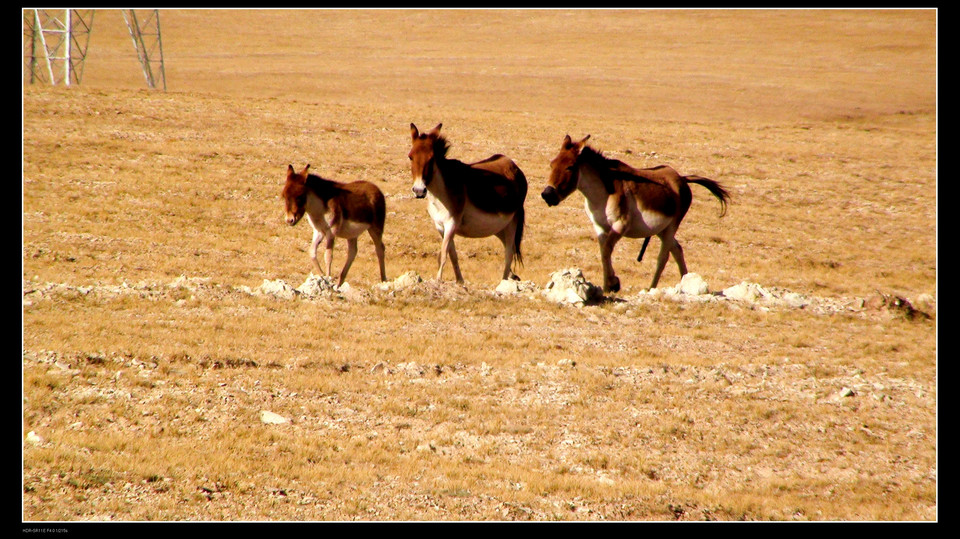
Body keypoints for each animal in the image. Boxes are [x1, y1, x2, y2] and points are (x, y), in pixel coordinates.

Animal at [408, 122, 528, 282]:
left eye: (432, 158)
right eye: (410, 157)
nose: (419, 191)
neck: (442, 191)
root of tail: (514, 167)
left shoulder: (451, 223)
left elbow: (443, 254)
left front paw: (438, 280)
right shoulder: (440, 226)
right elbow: (452, 255)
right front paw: (460, 281)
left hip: (512, 223)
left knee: (509, 253)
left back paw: (503, 282)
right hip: (499, 229)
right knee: (510, 250)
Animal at [540, 137, 728, 294]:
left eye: (570, 166)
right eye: (551, 164)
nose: (547, 195)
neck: (602, 193)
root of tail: (682, 178)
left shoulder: (620, 225)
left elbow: (607, 250)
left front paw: (612, 284)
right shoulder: (599, 227)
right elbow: (603, 252)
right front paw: (610, 284)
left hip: (672, 226)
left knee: (663, 257)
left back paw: (652, 288)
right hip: (662, 229)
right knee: (677, 250)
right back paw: (685, 282)